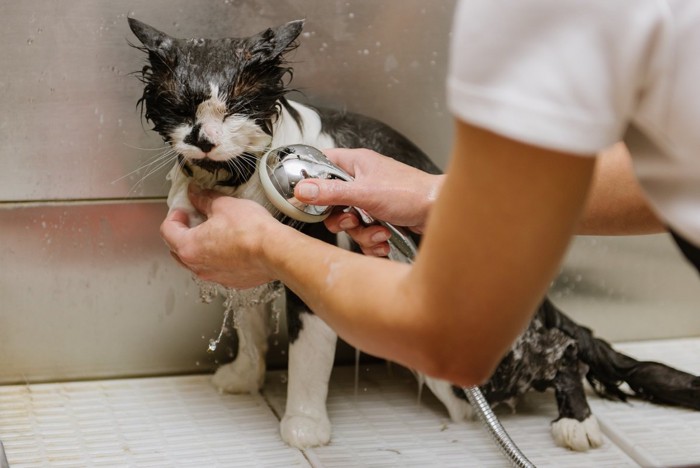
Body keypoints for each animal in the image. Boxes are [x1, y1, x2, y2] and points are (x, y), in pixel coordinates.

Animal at [130, 19, 700, 454]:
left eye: (235, 107)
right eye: (179, 108)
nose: (203, 139)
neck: (237, 174)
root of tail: (542, 307)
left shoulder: (310, 274)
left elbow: (309, 363)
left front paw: (305, 428)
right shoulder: (245, 274)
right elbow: (249, 329)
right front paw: (244, 377)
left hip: (476, 366)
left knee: (562, 352)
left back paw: (575, 422)